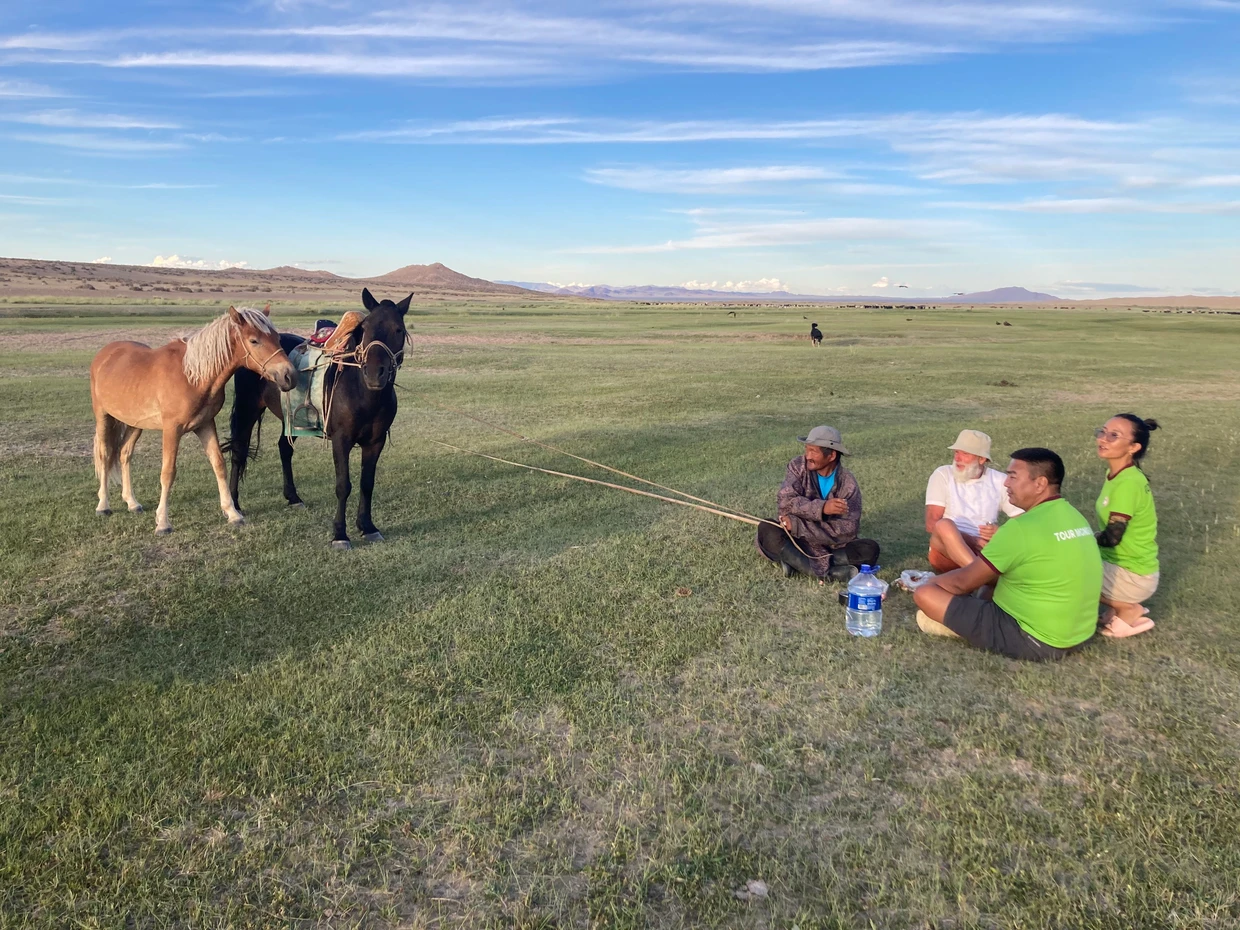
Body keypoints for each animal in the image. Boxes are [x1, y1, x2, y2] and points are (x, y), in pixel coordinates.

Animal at [90, 305, 297, 535]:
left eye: (277, 337)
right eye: (254, 340)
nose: (289, 375)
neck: (192, 376)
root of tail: (105, 354)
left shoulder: (205, 424)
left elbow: (219, 464)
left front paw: (232, 513)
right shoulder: (172, 430)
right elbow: (168, 472)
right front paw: (163, 522)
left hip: (135, 423)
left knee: (124, 454)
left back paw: (132, 502)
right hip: (103, 416)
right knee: (105, 454)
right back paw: (103, 505)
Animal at [226, 288, 411, 549]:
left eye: (398, 330)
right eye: (365, 328)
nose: (375, 373)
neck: (361, 392)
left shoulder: (376, 442)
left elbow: (367, 484)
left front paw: (368, 527)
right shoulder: (341, 440)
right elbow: (343, 485)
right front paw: (340, 535)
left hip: (292, 418)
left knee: (284, 448)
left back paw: (293, 497)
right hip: (247, 409)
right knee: (238, 452)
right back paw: (234, 505)